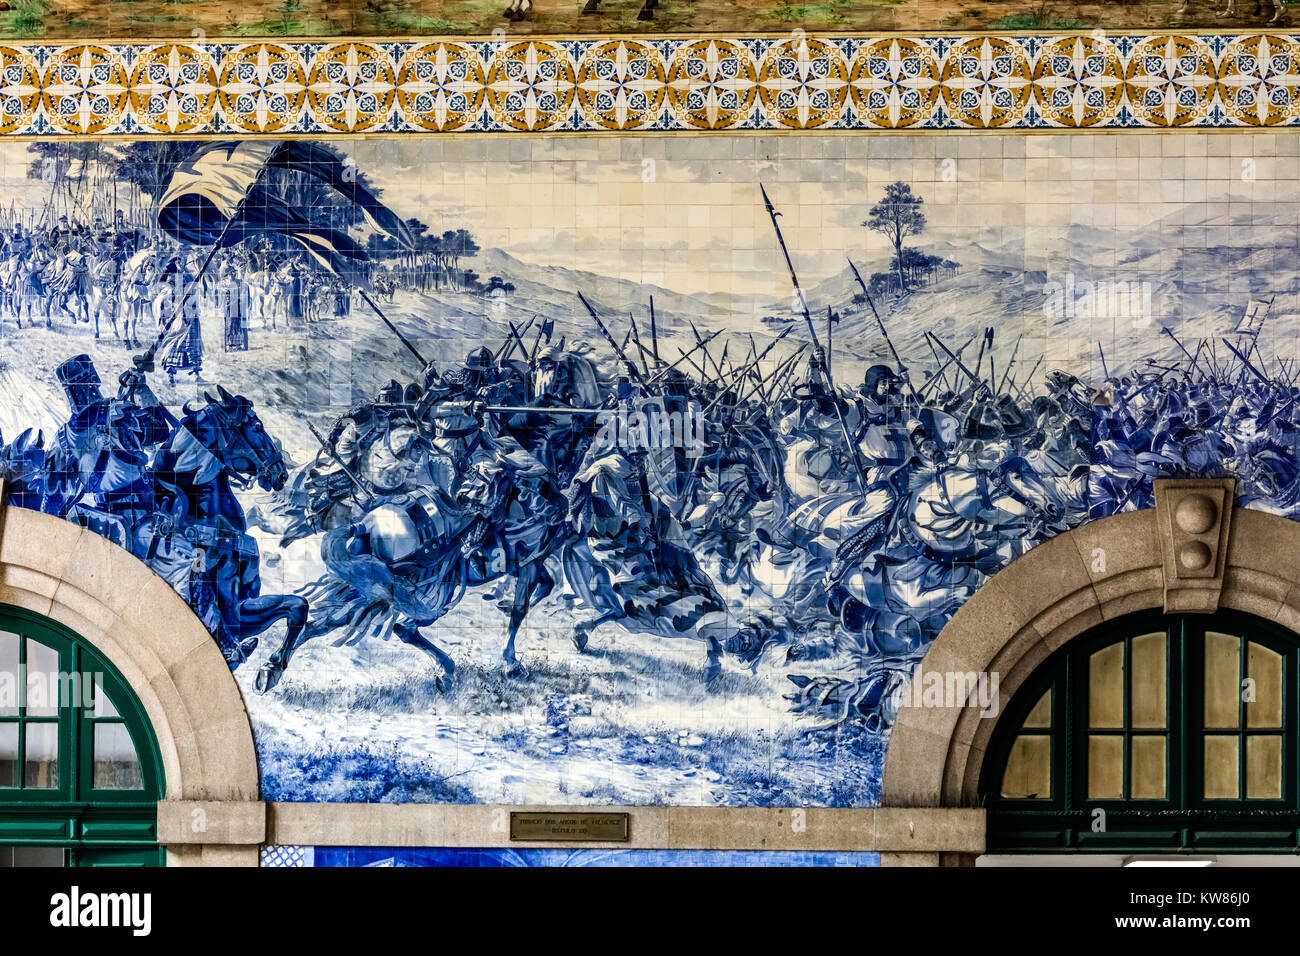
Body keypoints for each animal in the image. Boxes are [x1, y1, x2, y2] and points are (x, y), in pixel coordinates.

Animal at [153, 385, 308, 691]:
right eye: (257, 426)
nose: (281, 473)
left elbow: (298, 606)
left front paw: (270, 669)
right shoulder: (235, 613)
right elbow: (298, 605)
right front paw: (271, 669)